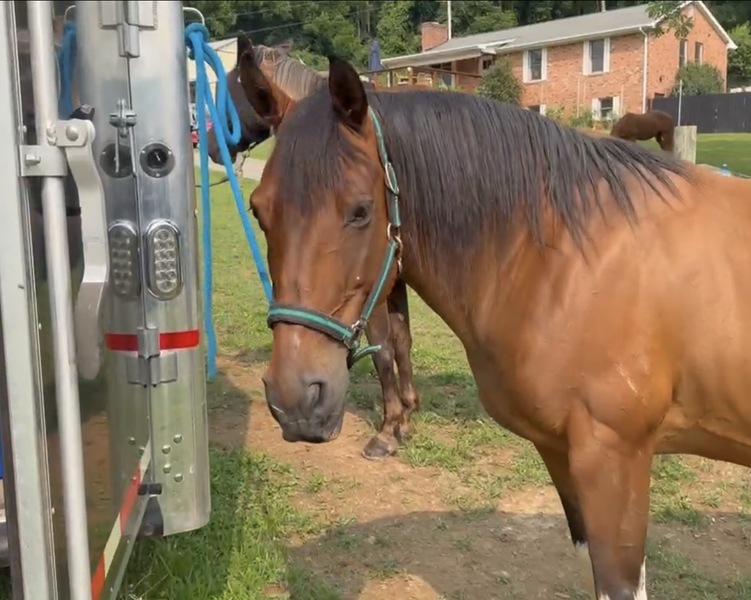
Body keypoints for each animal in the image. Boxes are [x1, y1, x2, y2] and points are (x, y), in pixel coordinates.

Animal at [205, 35, 420, 461]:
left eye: (228, 89)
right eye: (258, 211)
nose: (209, 145)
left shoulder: (375, 286)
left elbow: (384, 349)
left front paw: (388, 429)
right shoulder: (393, 277)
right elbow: (402, 343)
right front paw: (406, 412)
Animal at [237, 49, 751, 599]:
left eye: (360, 210)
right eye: (259, 211)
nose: (294, 399)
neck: (568, 257)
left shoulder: (616, 459)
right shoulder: (561, 453)